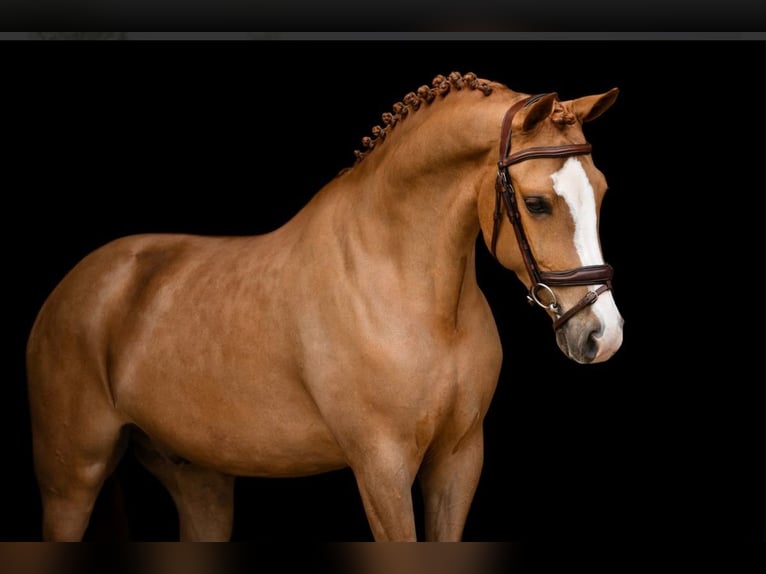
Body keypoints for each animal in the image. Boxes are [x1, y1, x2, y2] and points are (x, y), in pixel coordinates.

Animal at [26, 71, 623, 541]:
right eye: (537, 203)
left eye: (600, 190)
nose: (603, 334)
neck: (409, 293)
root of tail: (74, 287)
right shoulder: (382, 467)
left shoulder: (458, 460)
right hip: (71, 480)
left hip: (198, 478)